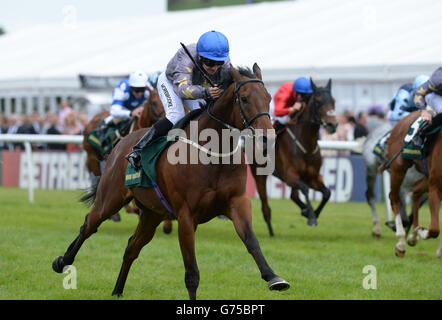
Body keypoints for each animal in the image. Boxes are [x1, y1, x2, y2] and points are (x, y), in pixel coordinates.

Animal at [52, 64, 290, 300]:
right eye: (244, 98)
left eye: (269, 97)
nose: (268, 137)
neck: (212, 154)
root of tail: (122, 144)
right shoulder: (186, 216)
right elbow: (192, 272)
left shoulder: (237, 202)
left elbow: (251, 241)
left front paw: (274, 277)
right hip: (110, 199)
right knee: (88, 225)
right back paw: (62, 261)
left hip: (152, 213)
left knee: (132, 247)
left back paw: (117, 290)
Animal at [250, 79, 336, 236]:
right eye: (318, 101)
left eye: (333, 101)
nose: (333, 124)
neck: (306, 145)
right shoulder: (290, 175)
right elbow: (305, 189)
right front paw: (311, 216)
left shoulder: (313, 177)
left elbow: (327, 193)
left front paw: (312, 212)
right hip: (258, 174)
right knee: (265, 204)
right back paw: (271, 230)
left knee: (293, 195)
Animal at [386, 111, 440, 256]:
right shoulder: (435, 187)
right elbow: (434, 229)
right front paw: (421, 231)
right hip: (398, 167)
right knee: (394, 198)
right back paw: (401, 242)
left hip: (426, 174)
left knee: (416, 190)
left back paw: (413, 235)